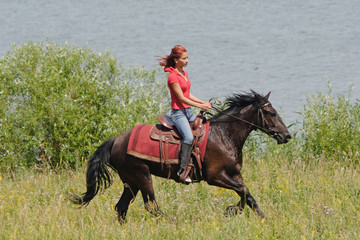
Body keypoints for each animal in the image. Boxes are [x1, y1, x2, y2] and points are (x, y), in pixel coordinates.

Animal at [69, 90, 292, 221]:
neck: (225, 134)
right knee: (151, 206)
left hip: (130, 181)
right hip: (141, 176)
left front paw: (247, 213)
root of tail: (115, 140)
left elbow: (246, 194)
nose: (287, 136)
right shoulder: (215, 177)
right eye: (271, 113)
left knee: (121, 207)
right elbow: (244, 192)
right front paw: (239, 212)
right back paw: (171, 221)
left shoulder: (234, 174)